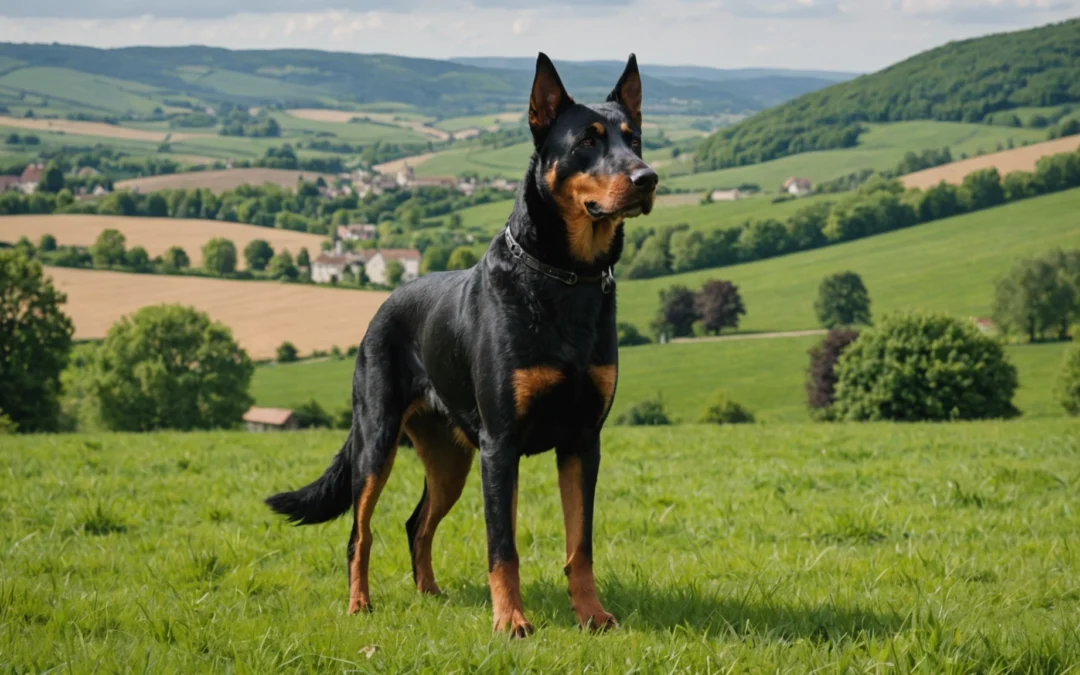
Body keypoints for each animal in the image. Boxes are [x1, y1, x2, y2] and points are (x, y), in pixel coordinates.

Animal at [270, 51, 656, 630]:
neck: (563, 277)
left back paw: (429, 592)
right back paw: (359, 603)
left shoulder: (582, 441)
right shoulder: (501, 445)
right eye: (587, 143)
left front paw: (591, 615)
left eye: (635, 140)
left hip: (450, 459)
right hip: (377, 443)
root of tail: (383, 306)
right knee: (359, 533)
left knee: (417, 523)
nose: (647, 178)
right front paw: (511, 622)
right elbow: (503, 546)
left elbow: (580, 544)